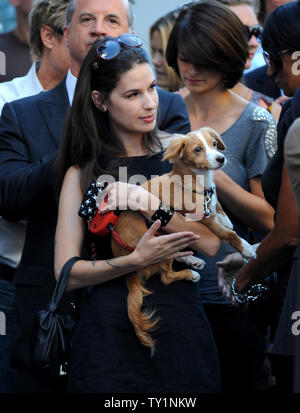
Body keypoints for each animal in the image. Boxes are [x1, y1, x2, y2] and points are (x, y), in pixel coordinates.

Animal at [110, 127, 255, 352]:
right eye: (197, 149)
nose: (221, 158)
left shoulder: (210, 205)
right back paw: (190, 273)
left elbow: (218, 206)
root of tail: (125, 264)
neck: (199, 183)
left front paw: (226, 218)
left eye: (214, 144)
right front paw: (246, 248)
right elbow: (229, 235)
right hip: (160, 241)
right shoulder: (205, 222)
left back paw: (193, 261)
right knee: (166, 276)